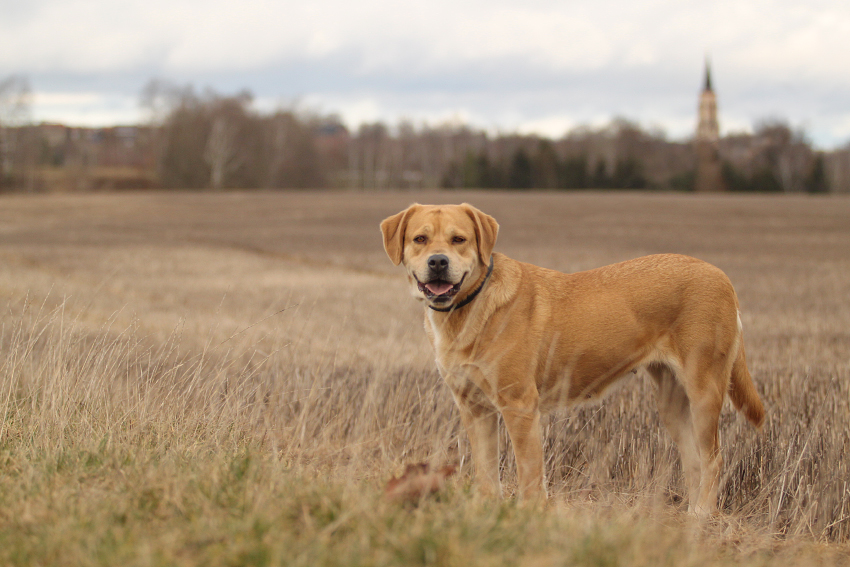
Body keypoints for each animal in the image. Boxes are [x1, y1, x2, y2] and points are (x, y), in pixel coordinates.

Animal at [378, 203, 760, 516]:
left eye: (459, 239)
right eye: (420, 239)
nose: (438, 262)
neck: (467, 309)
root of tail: (722, 277)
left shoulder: (519, 406)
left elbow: (529, 474)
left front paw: (529, 516)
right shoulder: (474, 408)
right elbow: (486, 472)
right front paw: (486, 511)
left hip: (704, 390)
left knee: (714, 459)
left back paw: (704, 516)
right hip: (671, 402)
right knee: (693, 460)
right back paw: (692, 516)